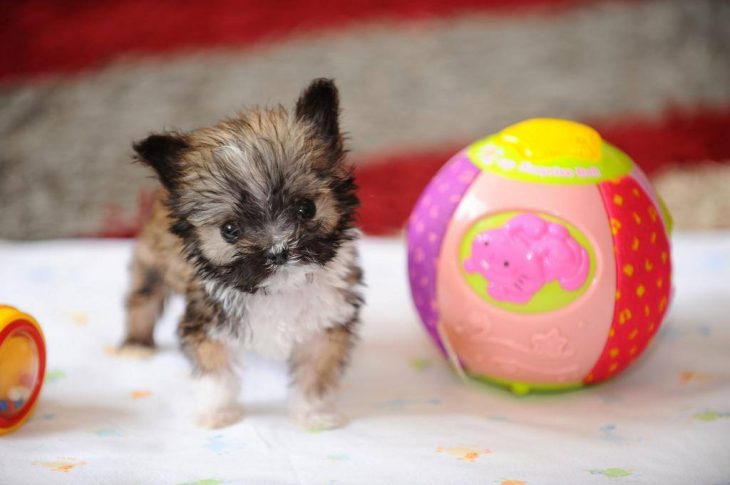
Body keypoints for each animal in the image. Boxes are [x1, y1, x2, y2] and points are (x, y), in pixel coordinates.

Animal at [120, 77, 364, 430]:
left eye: (306, 208)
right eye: (230, 229)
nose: (278, 251)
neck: (279, 290)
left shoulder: (327, 322)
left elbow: (316, 372)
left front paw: (314, 413)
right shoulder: (207, 322)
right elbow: (215, 371)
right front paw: (217, 412)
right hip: (153, 259)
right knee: (143, 295)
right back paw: (135, 344)